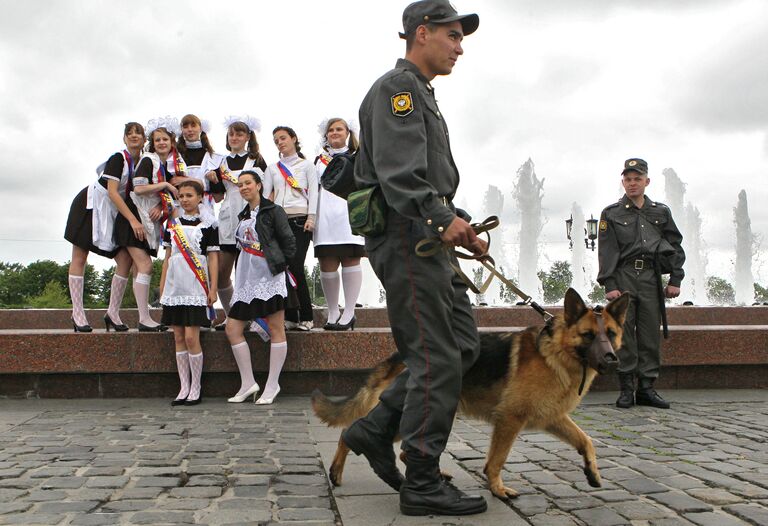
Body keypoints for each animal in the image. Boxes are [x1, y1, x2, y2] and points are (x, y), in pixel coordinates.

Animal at [312, 290, 632, 502]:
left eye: (611, 334)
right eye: (589, 335)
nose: (612, 360)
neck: (557, 352)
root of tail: (397, 357)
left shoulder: (552, 418)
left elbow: (585, 440)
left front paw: (592, 472)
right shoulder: (509, 420)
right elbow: (497, 460)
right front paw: (497, 489)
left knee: (402, 448)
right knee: (351, 433)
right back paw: (338, 469)